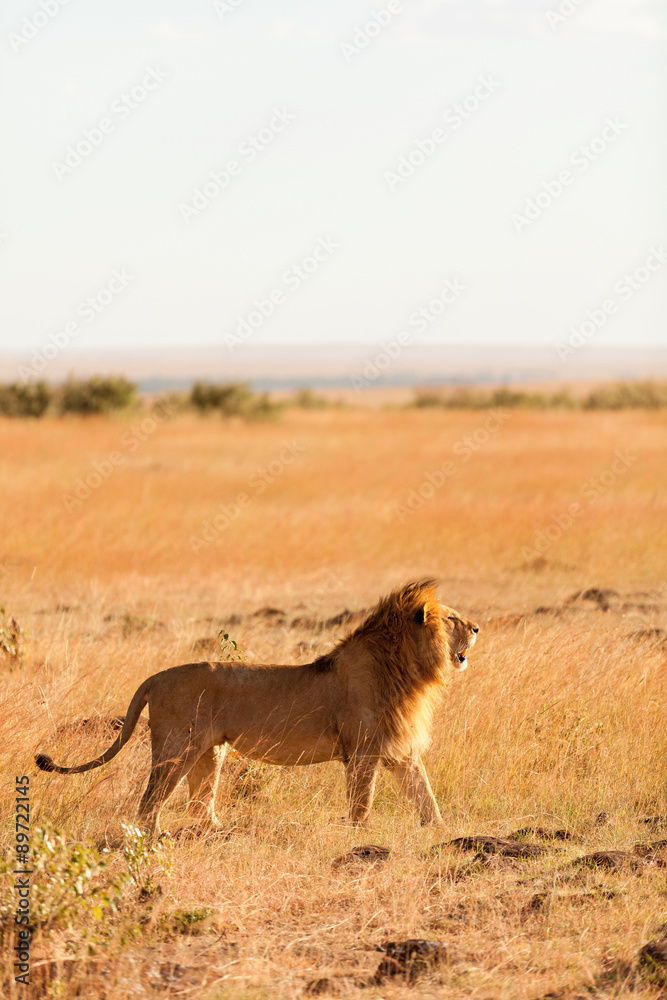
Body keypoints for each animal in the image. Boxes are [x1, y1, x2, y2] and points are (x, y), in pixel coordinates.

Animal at [35, 580, 478, 835]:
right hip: (177, 749)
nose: (477, 628)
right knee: (149, 803)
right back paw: (154, 839)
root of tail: (155, 677)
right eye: (453, 618)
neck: (408, 670)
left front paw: (441, 831)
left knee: (199, 804)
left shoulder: (401, 751)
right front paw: (360, 838)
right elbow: (362, 802)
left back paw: (218, 832)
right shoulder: (363, 750)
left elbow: (425, 795)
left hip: (209, 752)